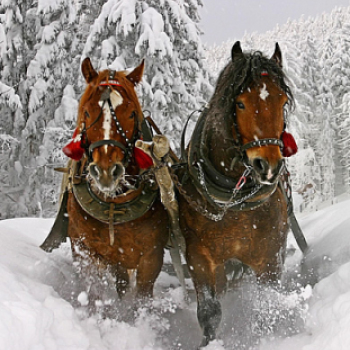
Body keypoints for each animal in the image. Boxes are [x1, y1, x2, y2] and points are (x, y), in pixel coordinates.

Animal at [57, 59, 168, 300]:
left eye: (131, 113)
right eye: (87, 112)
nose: (106, 171)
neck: (113, 205)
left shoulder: (151, 257)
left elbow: (141, 298)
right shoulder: (84, 250)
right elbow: (94, 292)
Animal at [176, 41, 296, 348]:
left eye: (282, 102)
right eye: (240, 103)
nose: (268, 166)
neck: (234, 201)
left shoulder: (270, 255)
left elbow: (268, 303)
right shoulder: (199, 257)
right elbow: (209, 311)